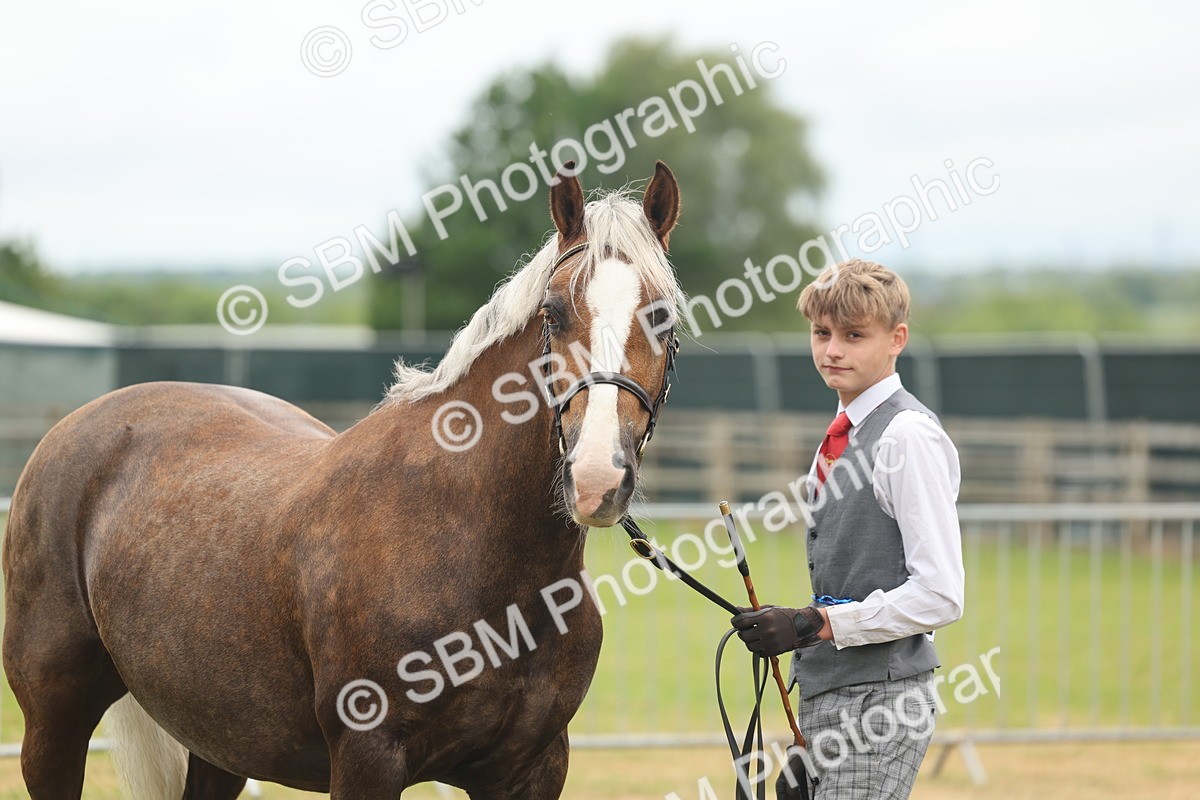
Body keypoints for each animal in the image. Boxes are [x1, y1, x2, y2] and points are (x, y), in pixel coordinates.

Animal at [2, 161, 684, 799]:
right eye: (554, 311)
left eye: (665, 317)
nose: (596, 476)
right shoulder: (367, 760)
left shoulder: (532, 770)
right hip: (53, 724)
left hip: (218, 739)